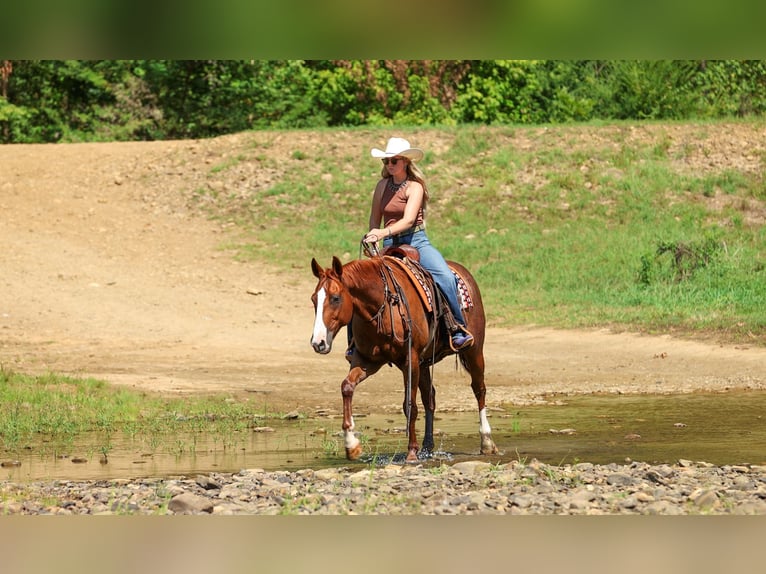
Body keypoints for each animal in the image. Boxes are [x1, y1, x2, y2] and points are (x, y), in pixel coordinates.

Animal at [310, 249, 498, 462]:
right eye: (314, 299)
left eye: (335, 298)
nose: (318, 343)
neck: (382, 306)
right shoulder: (367, 360)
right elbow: (347, 387)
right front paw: (352, 445)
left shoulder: (410, 360)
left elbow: (410, 405)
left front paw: (411, 452)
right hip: (424, 364)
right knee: (430, 398)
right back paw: (427, 447)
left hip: (474, 351)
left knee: (479, 389)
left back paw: (487, 442)